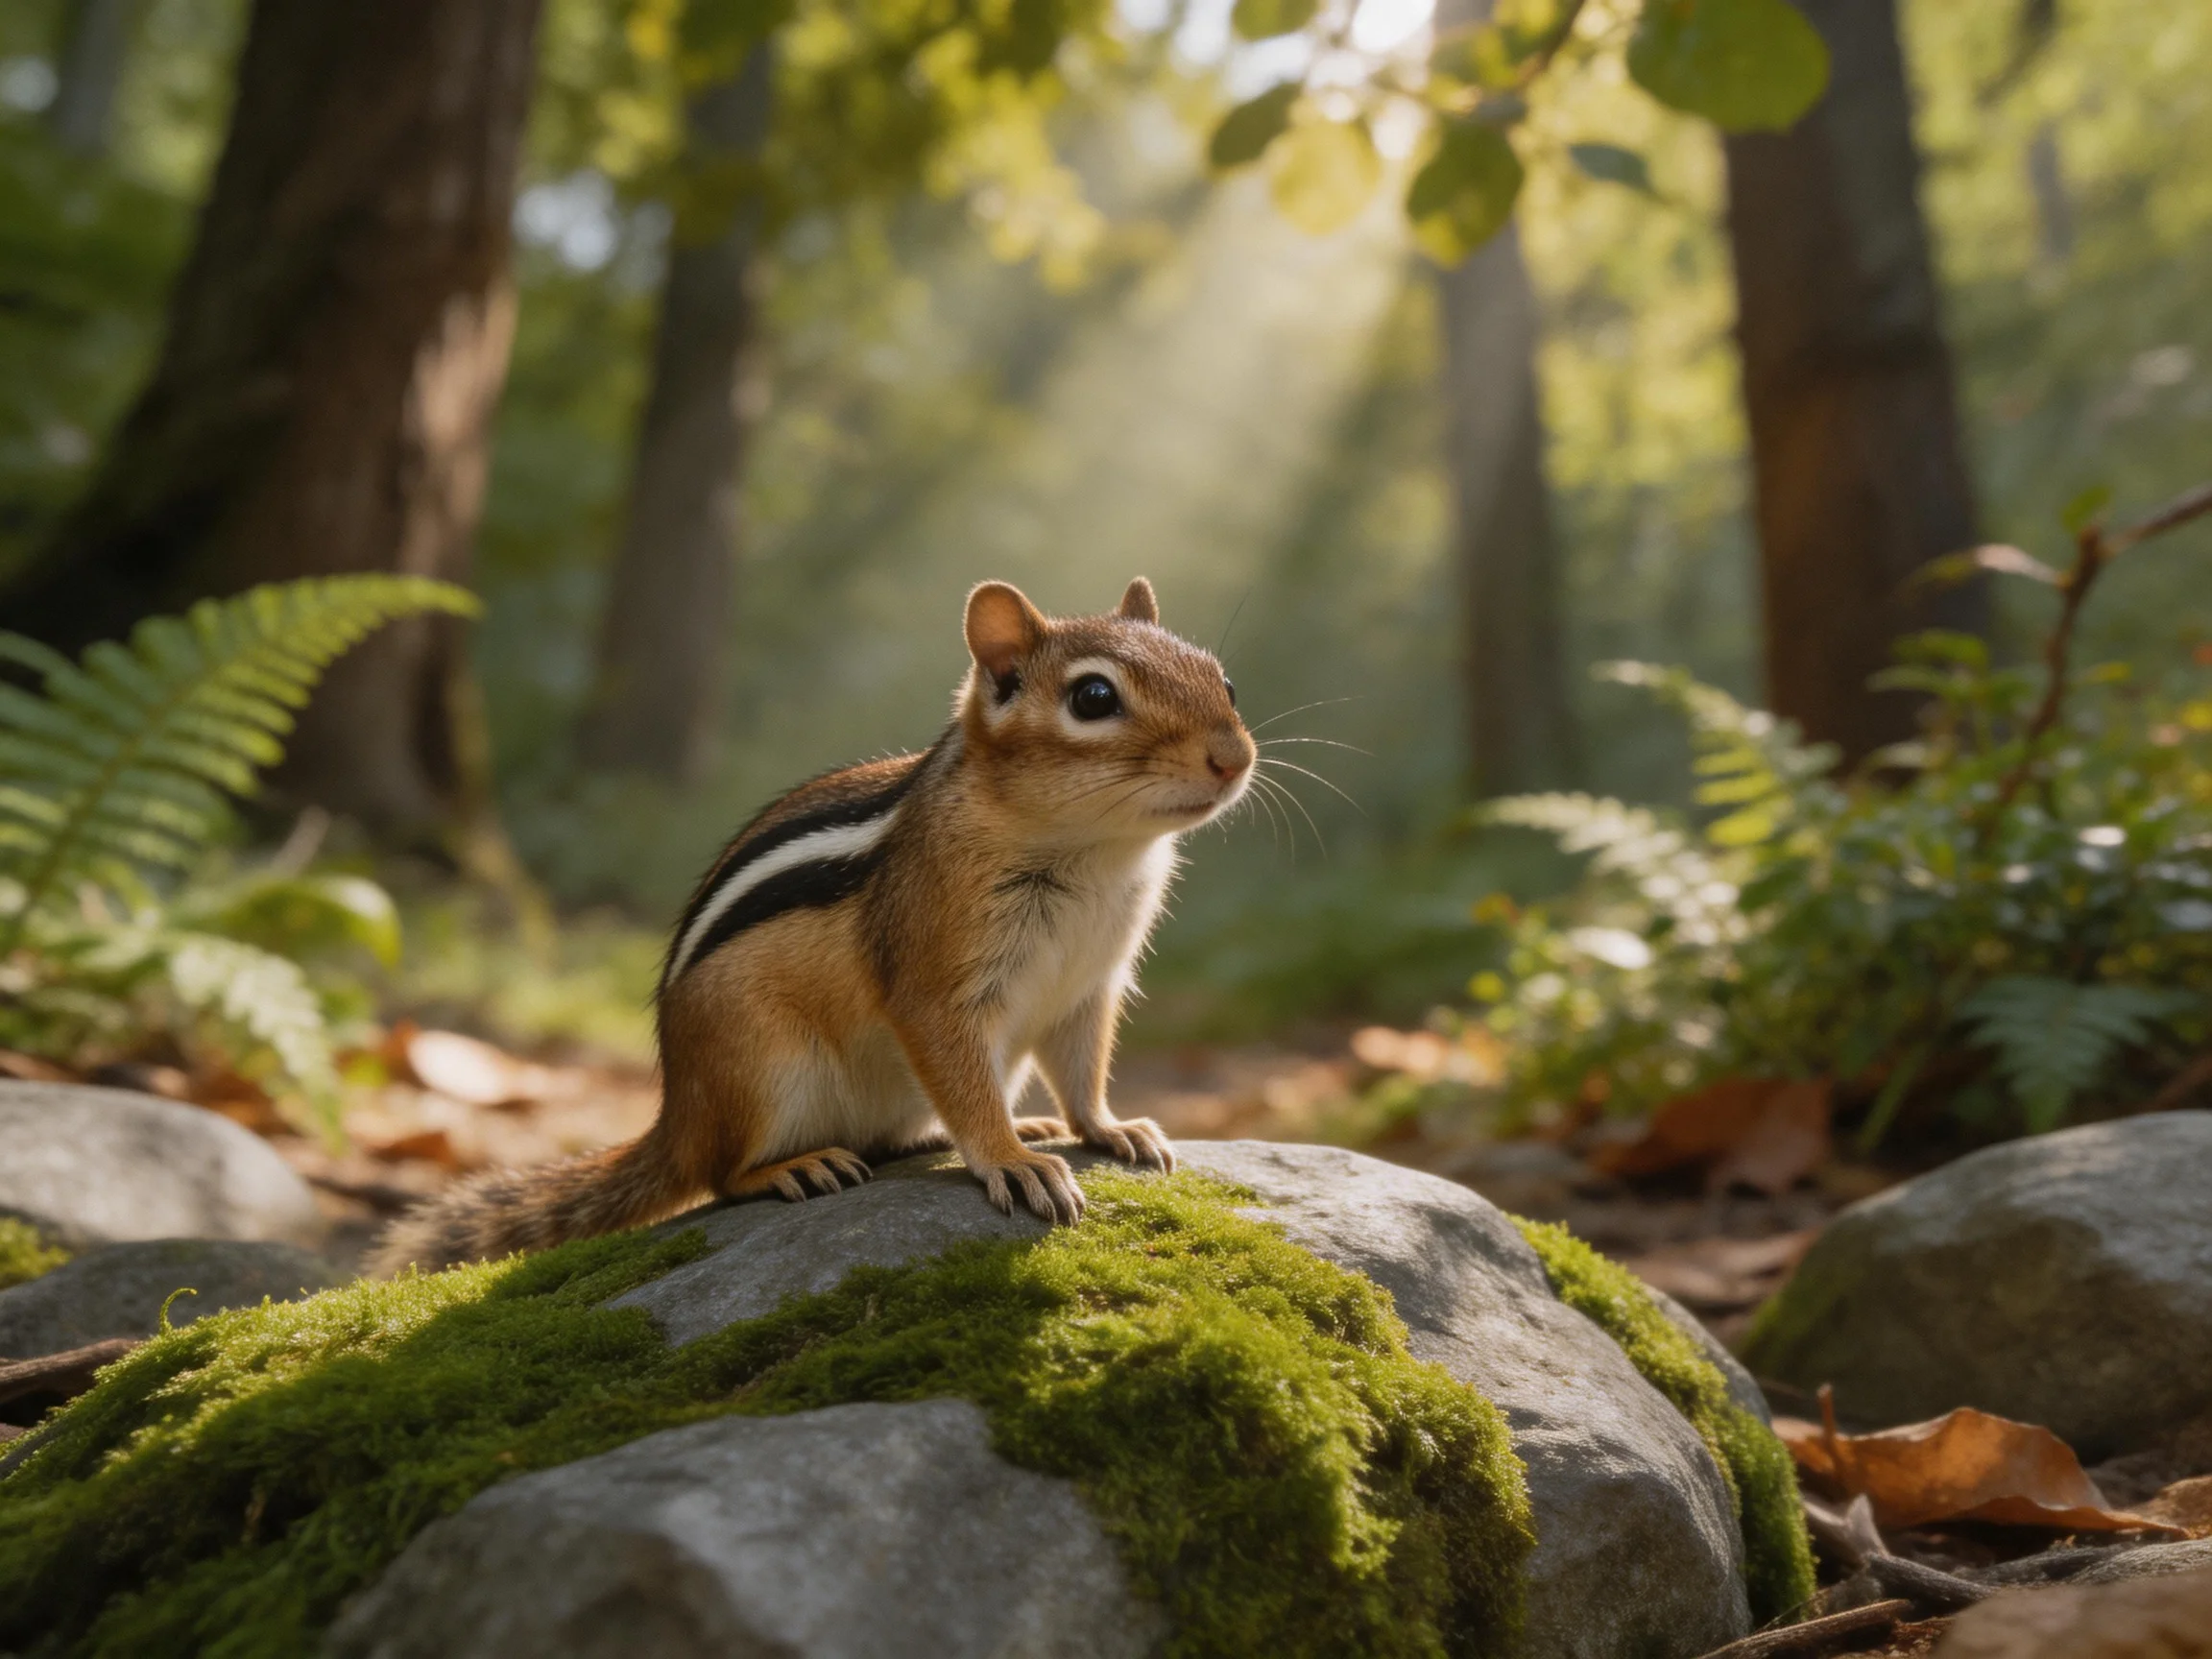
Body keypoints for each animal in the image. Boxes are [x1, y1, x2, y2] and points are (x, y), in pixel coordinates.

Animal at [371, 577, 1254, 1273]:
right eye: (1094, 698)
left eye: (1226, 682)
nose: (1233, 757)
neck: (1097, 855)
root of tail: (677, 1115)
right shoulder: (935, 978)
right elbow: (958, 1072)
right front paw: (1011, 1160)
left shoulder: (1089, 984)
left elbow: (1084, 1070)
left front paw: (1108, 1129)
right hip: (761, 1067)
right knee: (720, 1175)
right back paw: (792, 1170)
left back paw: (990, 1126)